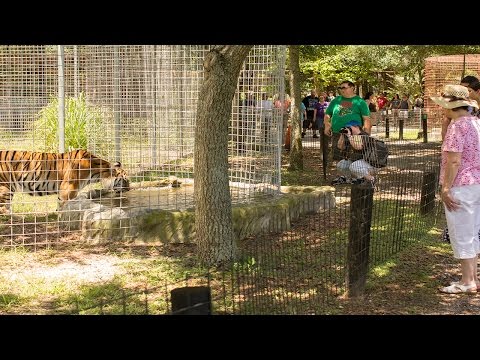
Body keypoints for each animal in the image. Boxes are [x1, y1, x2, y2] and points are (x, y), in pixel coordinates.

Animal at [0, 149, 129, 211]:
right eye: (125, 180)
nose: (129, 189)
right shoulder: (68, 189)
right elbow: (64, 205)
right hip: (5, 187)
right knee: (3, 209)